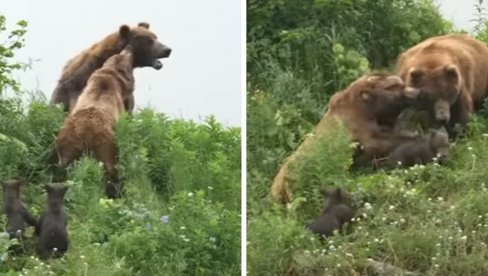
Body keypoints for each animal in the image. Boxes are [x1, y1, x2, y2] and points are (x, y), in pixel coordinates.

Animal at [54, 45, 136, 198]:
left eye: (120, 53)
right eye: (127, 57)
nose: (129, 47)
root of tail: (85, 134)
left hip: (67, 144)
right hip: (105, 144)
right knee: (112, 168)